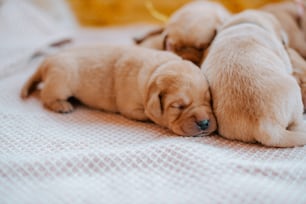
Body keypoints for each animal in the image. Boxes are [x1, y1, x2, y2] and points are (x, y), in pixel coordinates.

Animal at [20, 44, 218, 137]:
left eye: (208, 100)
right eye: (178, 106)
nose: (204, 123)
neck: (156, 70)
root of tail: (45, 62)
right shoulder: (131, 107)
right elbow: (148, 115)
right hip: (61, 80)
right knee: (46, 95)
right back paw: (61, 105)